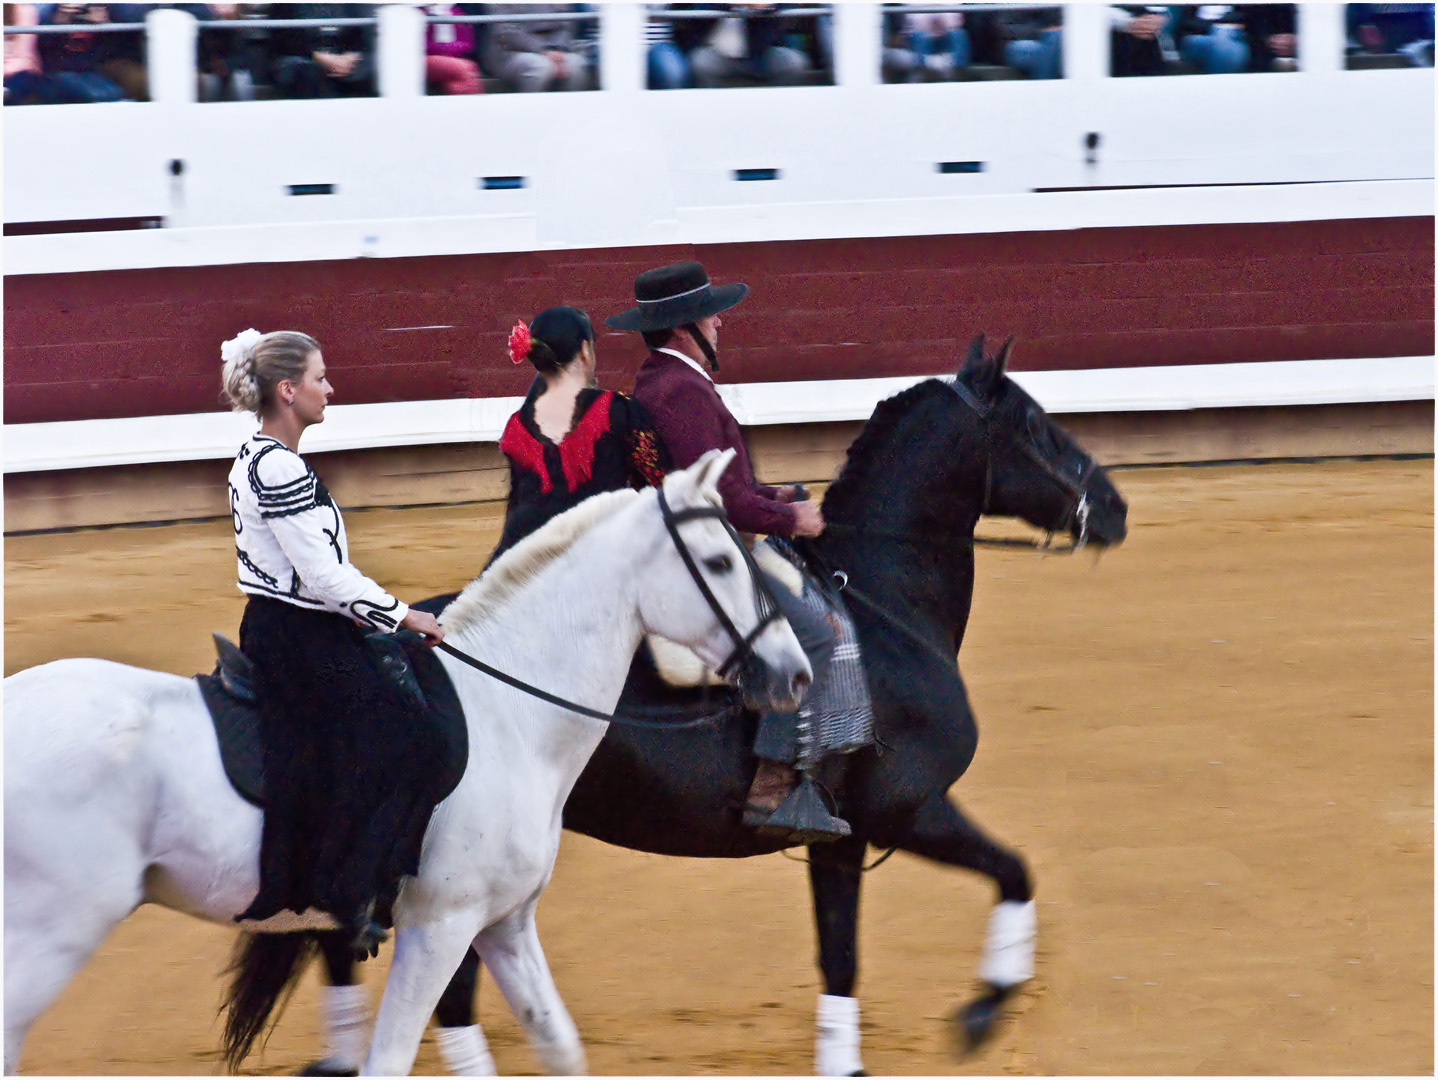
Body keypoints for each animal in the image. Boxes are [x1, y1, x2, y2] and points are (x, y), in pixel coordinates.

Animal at [2, 451, 811, 1075]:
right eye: (719, 561)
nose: (793, 673)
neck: (508, 709)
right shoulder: (440, 927)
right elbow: (389, 1056)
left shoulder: (504, 923)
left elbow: (560, 1046)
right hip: (50, 935)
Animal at [309, 336, 1127, 1075]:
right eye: (1036, 427)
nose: (1115, 509)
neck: (884, 607)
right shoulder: (906, 809)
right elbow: (1008, 874)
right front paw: (984, 1009)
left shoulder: (842, 837)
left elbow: (849, 955)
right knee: (444, 987)